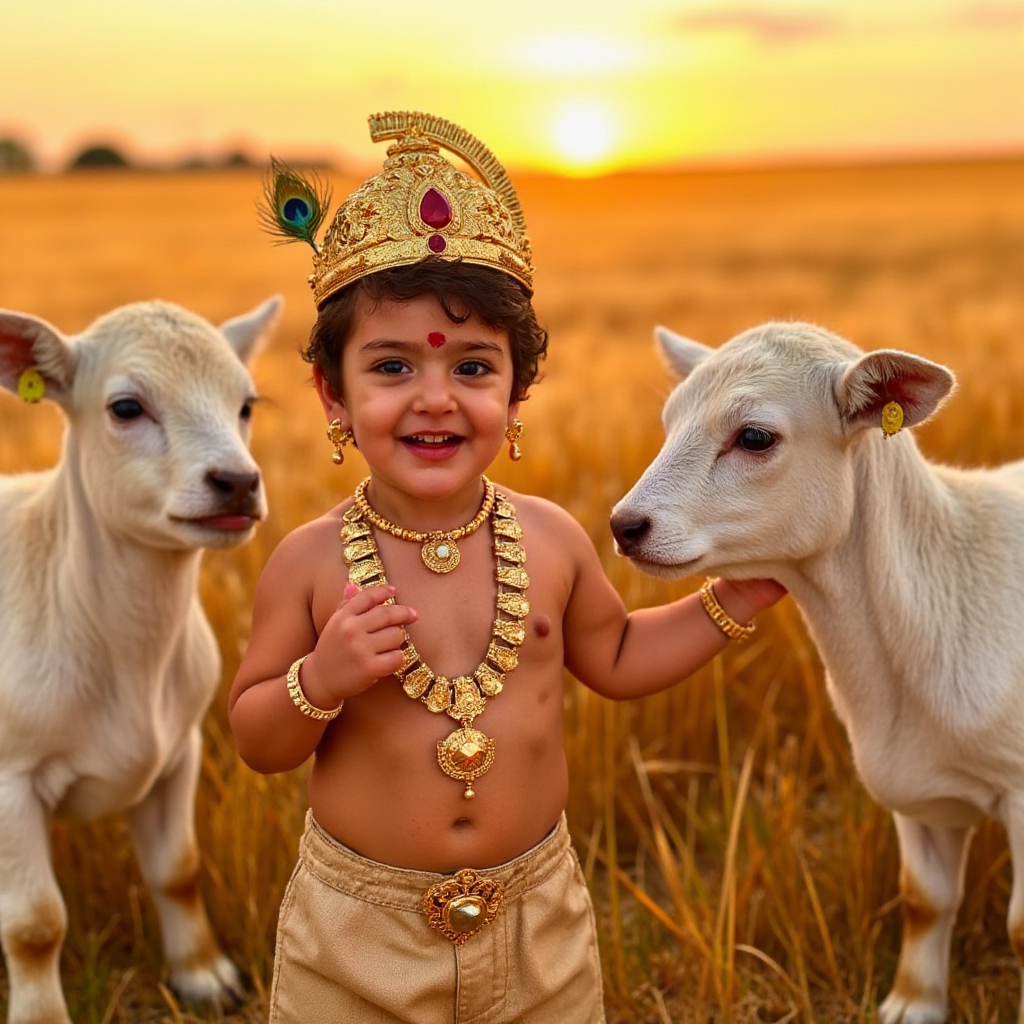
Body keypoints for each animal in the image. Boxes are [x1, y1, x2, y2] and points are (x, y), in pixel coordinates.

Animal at [0, 296, 280, 1024]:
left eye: (246, 404)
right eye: (126, 408)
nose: (237, 482)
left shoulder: (179, 748)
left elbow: (177, 870)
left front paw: (203, 975)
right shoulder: (10, 778)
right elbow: (35, 924)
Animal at [610, 325, 1024, 1024]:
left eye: (755, 437)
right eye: (668, 423)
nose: (624, 526)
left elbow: (1020, 927)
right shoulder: (917, 788)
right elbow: (924, 898)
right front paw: (913, 1003)